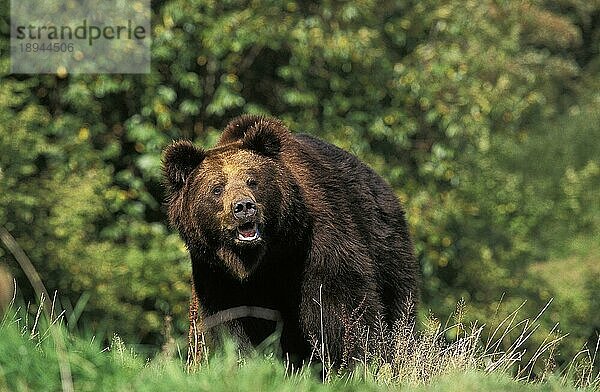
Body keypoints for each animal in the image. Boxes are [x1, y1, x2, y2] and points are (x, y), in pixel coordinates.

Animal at [162, 115, 420, 366]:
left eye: (252, 180)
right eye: (217, 188)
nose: (244, 207)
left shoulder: (318, 244)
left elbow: (341, 305)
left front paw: (356, 358)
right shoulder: (217, 273)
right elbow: (235, 321)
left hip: (386, 244)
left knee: (399, 303)